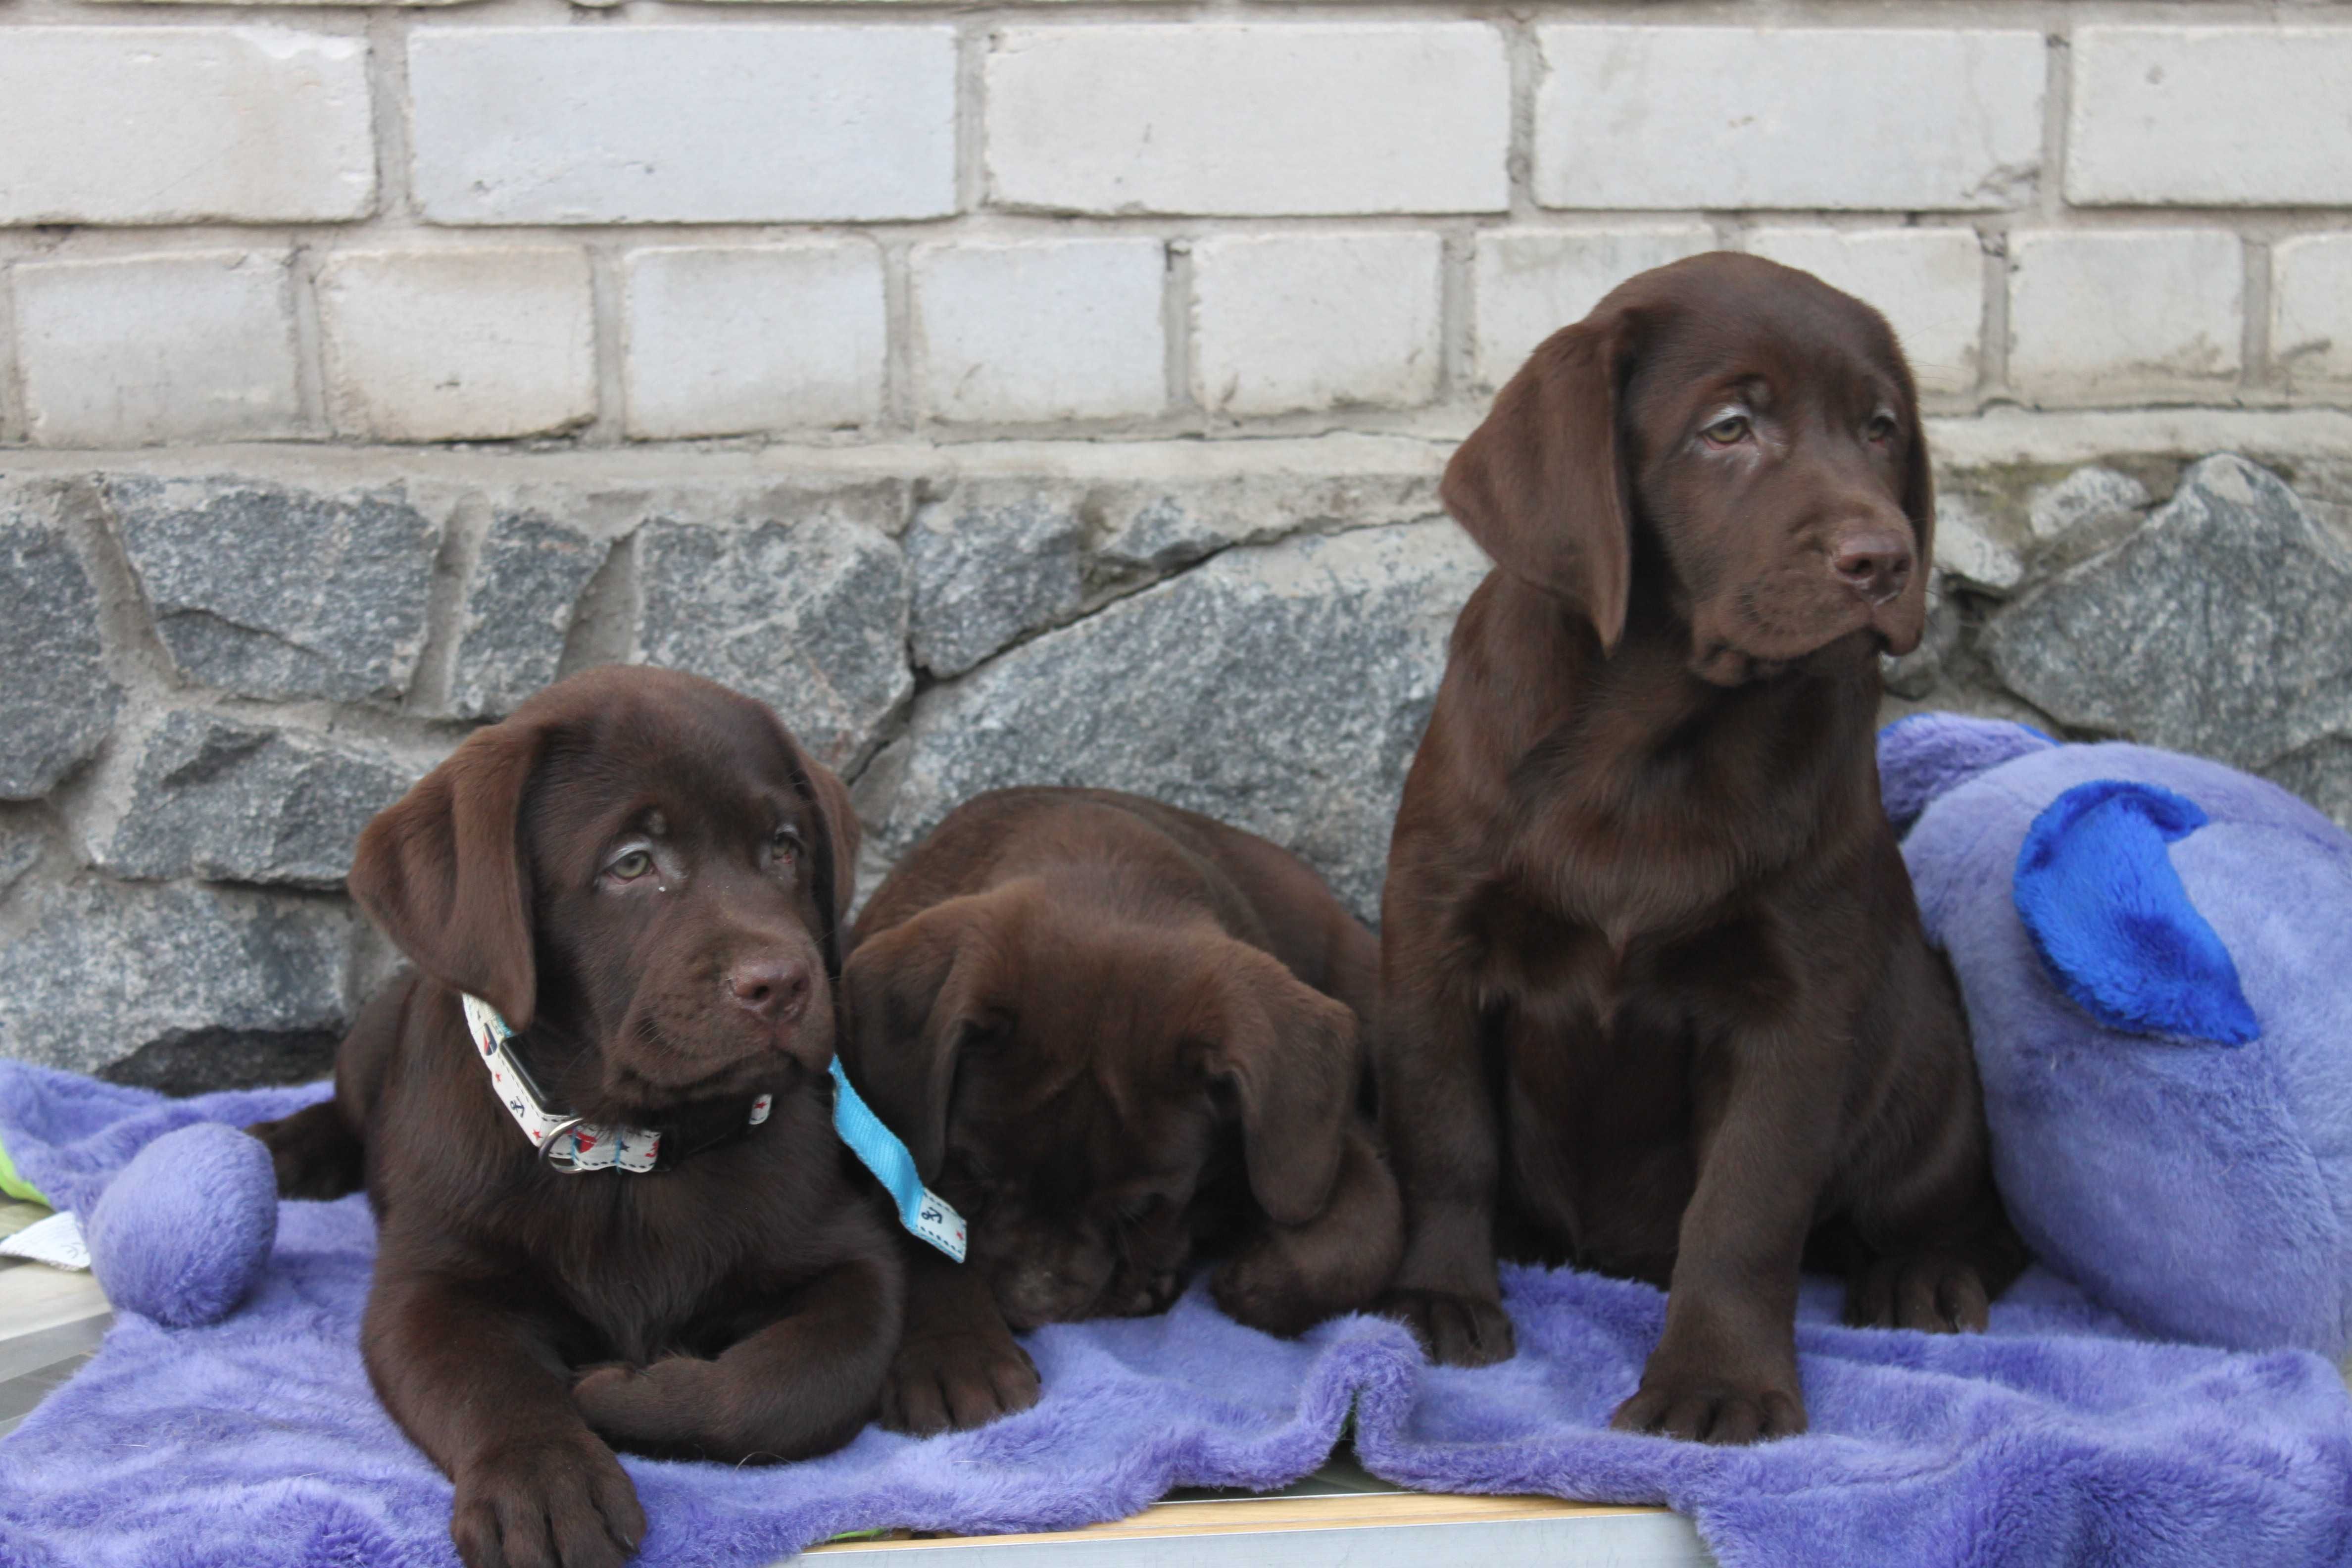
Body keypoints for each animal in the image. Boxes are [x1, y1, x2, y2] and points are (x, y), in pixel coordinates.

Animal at [842, 789, 1392, 1438]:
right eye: (974, 1177)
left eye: (1139, 1208)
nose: (1030, 1307)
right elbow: (918, 1233)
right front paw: (957, 1357)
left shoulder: (1306, 1130)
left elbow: (1368, 1223)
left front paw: (1259, 1282)